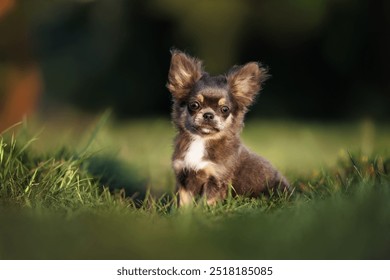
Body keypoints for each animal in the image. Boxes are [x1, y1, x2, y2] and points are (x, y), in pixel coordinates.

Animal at [166, 49, 288, 206]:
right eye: (194, 105)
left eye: (224, 109)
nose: (208, 115)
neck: (202, 139)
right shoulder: (184, 178)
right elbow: (184, 204)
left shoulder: (216, 180)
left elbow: (206, 203)